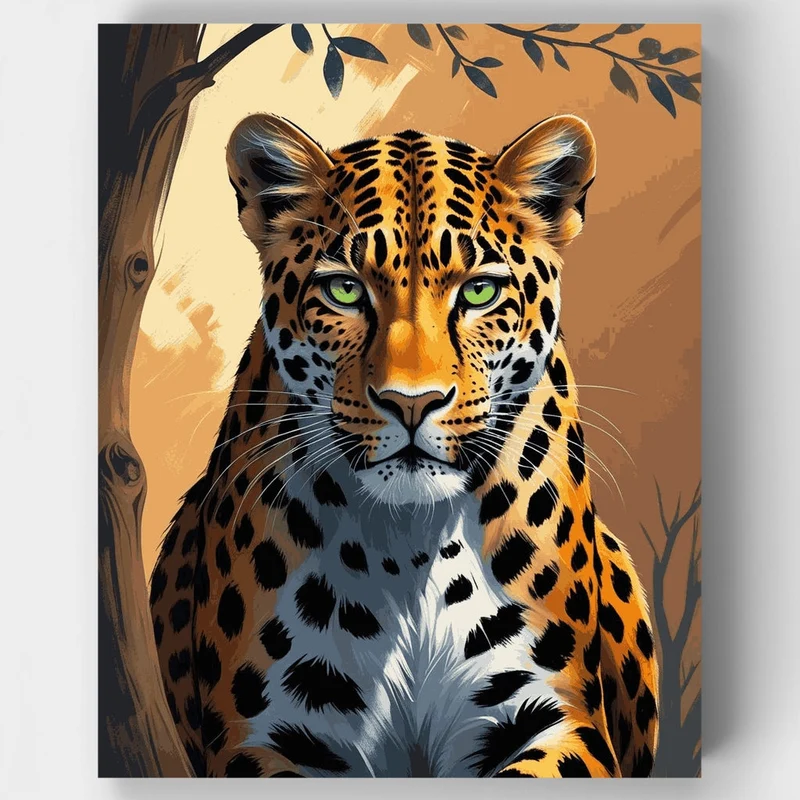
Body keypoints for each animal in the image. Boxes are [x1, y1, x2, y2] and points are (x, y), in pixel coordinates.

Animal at [149, 112, 659, 778]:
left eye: (478, 293)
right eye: (344, 291)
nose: (412, 402)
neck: (409, 548)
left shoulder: (556, 714)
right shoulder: (267, 735)